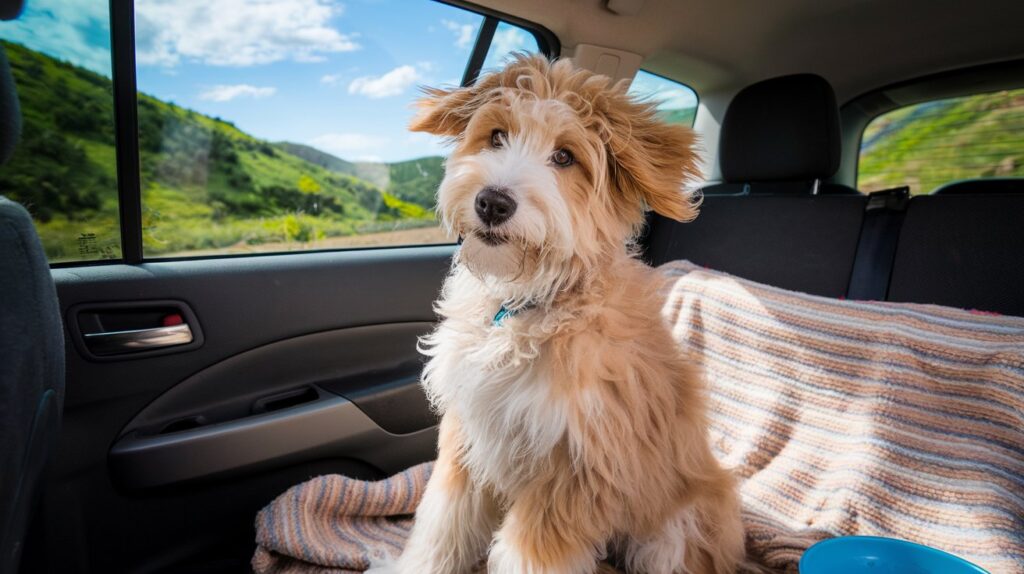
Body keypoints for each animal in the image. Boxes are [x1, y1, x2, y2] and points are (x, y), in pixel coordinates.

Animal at [380, 54, 741, 572]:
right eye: (497, 136)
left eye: (566, 157)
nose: (492, 202)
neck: (526, 305)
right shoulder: (467, 436)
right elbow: (442, 522)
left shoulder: (574, 469)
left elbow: (527, 556)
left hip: (678, 529)